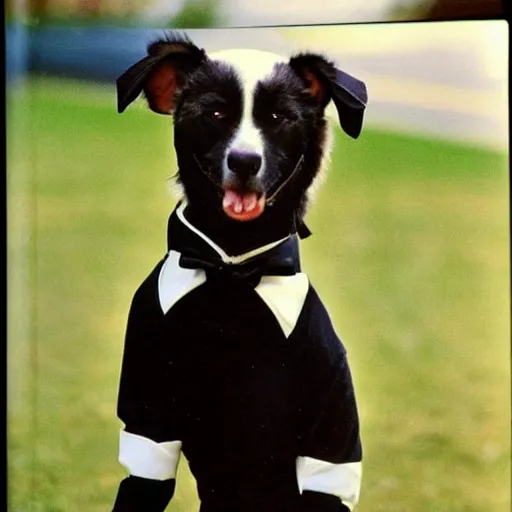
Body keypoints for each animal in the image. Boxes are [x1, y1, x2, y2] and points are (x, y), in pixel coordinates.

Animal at [112, 32, 368, 512]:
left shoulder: (331, 428)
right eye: (215, 113)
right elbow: (140, 484)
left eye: (279, 117)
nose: (245, 161)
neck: (232, 269)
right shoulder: (148, 412)